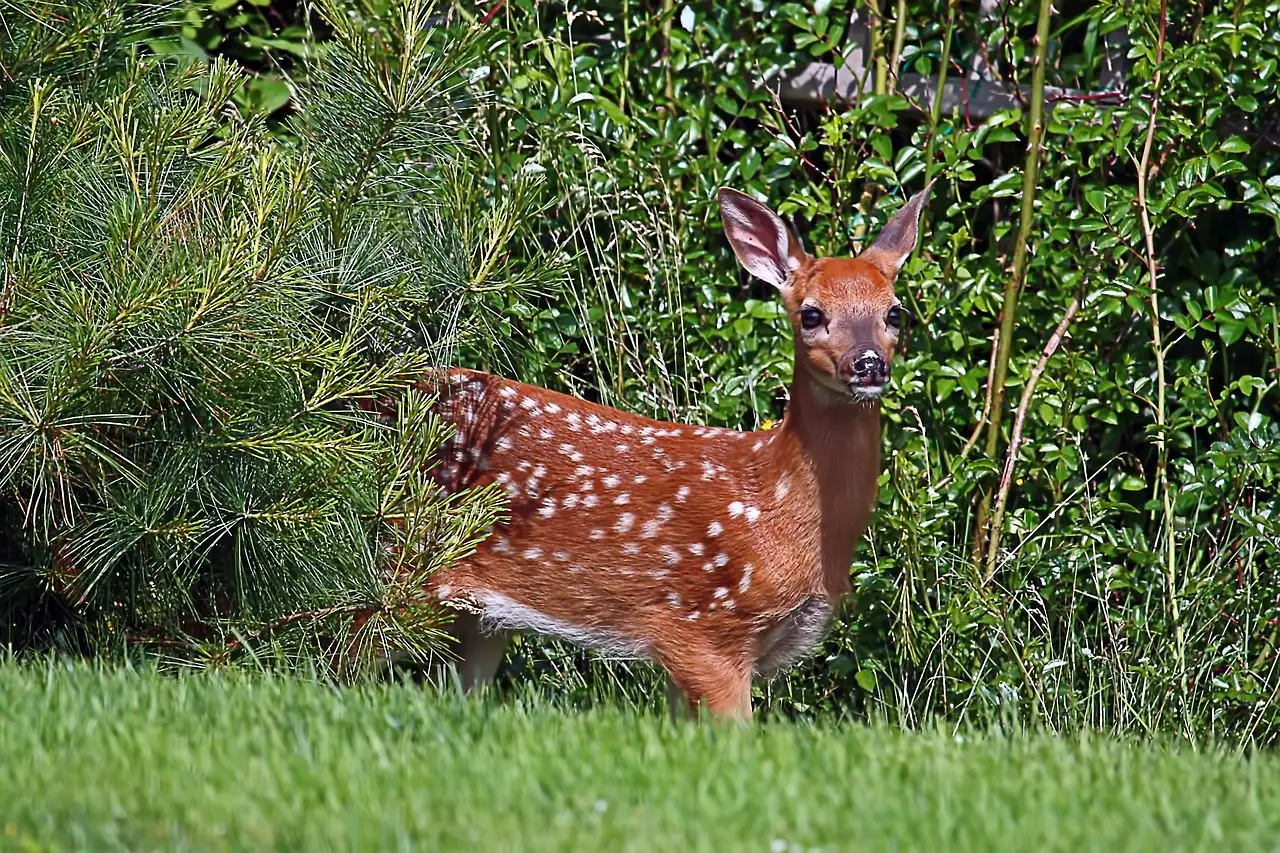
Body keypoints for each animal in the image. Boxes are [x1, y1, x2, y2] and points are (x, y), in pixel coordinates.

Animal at [423, 183, 932, 721]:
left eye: (894, 312)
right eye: (811, 314)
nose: (868, 364)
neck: (775, 506)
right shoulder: (702, 626)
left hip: (478, 621)